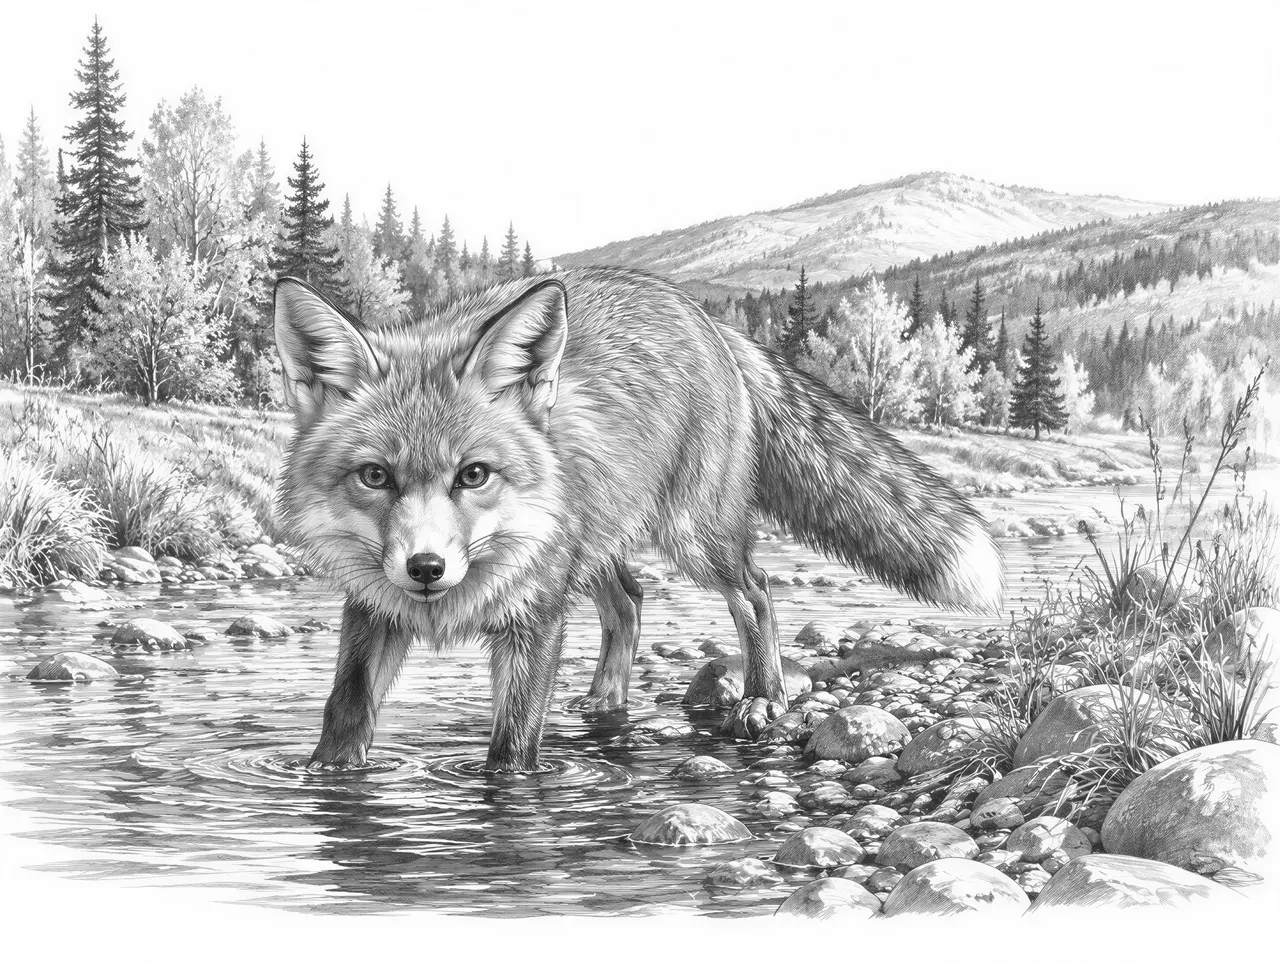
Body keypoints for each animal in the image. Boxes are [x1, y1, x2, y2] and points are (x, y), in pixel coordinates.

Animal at [273, 267, 1002, 773]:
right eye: (376, 476)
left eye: (473, 475)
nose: (426, 567)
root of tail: (705, 317)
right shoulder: (372, 607)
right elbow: (345, 711)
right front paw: (323, 779)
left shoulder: (536, 614)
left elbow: (513, 744)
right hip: (594, 538)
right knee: (629, 598)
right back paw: (607, 699)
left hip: (692, 536)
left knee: (757, 591)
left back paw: (762, 695)